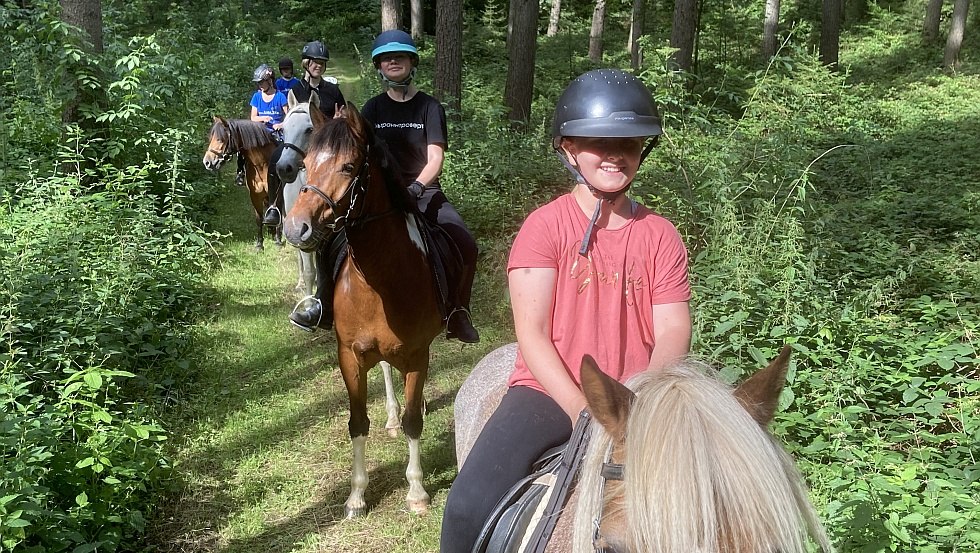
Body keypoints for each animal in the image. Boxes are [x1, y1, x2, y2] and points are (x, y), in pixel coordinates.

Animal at [203, 116, 280, 250]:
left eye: (220, 139)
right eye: (210, 138)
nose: (207, 162)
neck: (262, 164)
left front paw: (278, 240)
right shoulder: (255, 195)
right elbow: (259, 219)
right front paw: (259, 244)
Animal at [280, 101, 440, 516]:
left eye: (349, 166)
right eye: (309, 164)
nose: (296, 228)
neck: (379, 283)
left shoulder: (417, 354)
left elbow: (413, 421)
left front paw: (417, 492)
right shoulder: (349, 356)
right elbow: (357, 422)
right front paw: (356, 496)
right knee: (383, 368)